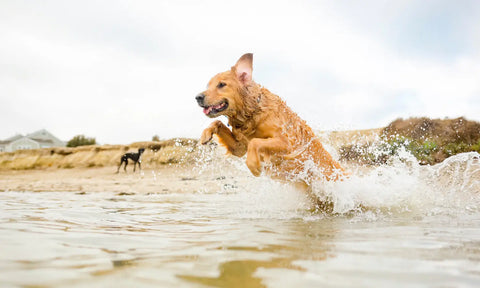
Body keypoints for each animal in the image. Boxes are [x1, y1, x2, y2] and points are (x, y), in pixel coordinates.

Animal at [195, 53, 344, 187]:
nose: (198, 97)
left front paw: (253, 165)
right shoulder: (239, 148)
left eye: (221, 84)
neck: (252, 114)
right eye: (208, 85)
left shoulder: (286, 143)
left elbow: (255, 142)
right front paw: (206, 134)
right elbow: (218, 122)